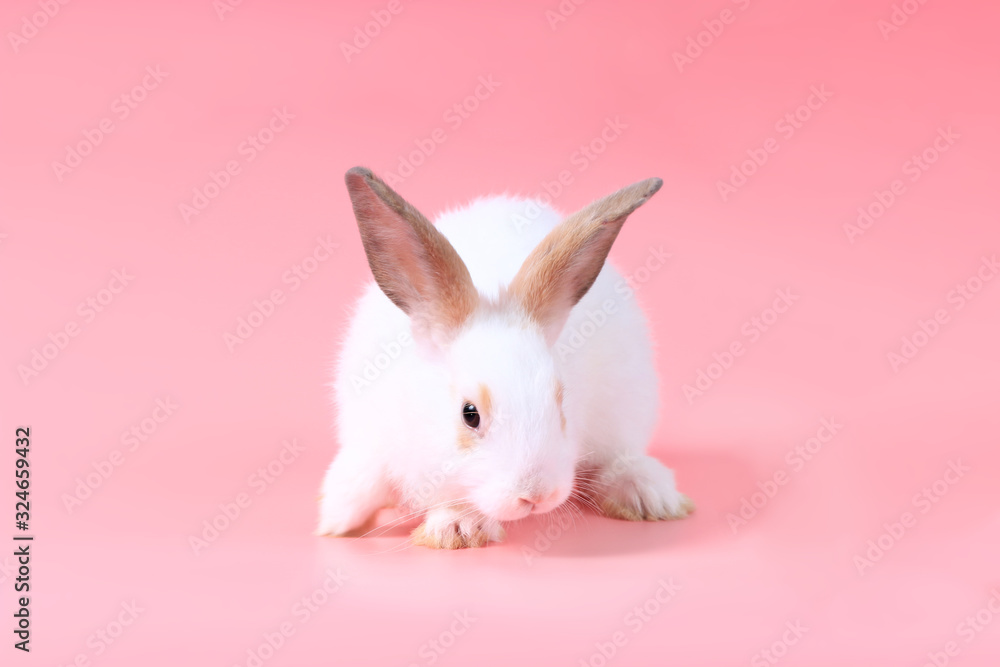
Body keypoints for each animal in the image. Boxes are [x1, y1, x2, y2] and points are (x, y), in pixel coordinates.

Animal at [316, 167, 692, 548]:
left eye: (561, 404)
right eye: (470, 415)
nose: (536, 496)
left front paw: (461, 528)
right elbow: (360, 483)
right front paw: (340, 523)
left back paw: (648, 495)